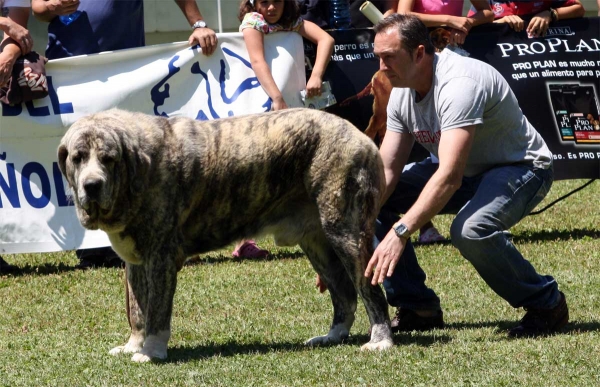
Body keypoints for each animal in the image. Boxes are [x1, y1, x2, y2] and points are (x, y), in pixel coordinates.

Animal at [57, 107, 394, 362]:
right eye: (78, 157)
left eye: (108, 159)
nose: (92, 185)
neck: (137, 170)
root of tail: (362, 137)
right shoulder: (136, 262)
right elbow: (138, 311)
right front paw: (133, 345)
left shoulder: (161, 259)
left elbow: (156, 313)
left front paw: (150, 352)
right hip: (317, 244)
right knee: (345, 295)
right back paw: (331, 336)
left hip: (346, 234)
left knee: (369, 289)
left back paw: (381, 339)